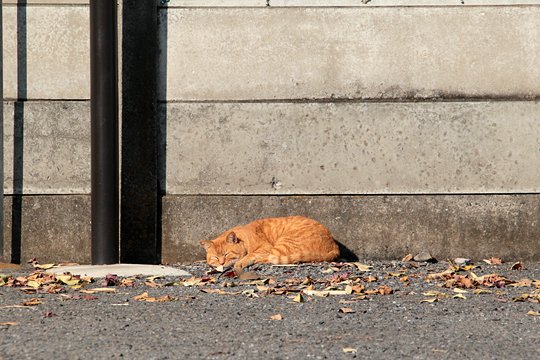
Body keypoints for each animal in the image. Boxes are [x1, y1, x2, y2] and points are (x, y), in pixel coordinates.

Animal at [200, 215, 340, 272]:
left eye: (227, 254)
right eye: (215, 257)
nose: (221, 263)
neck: (244, 239)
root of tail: (334, 246)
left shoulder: (265, 248)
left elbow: (251, 255)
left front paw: (241, 262)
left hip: (283, 243)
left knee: (271, 258)